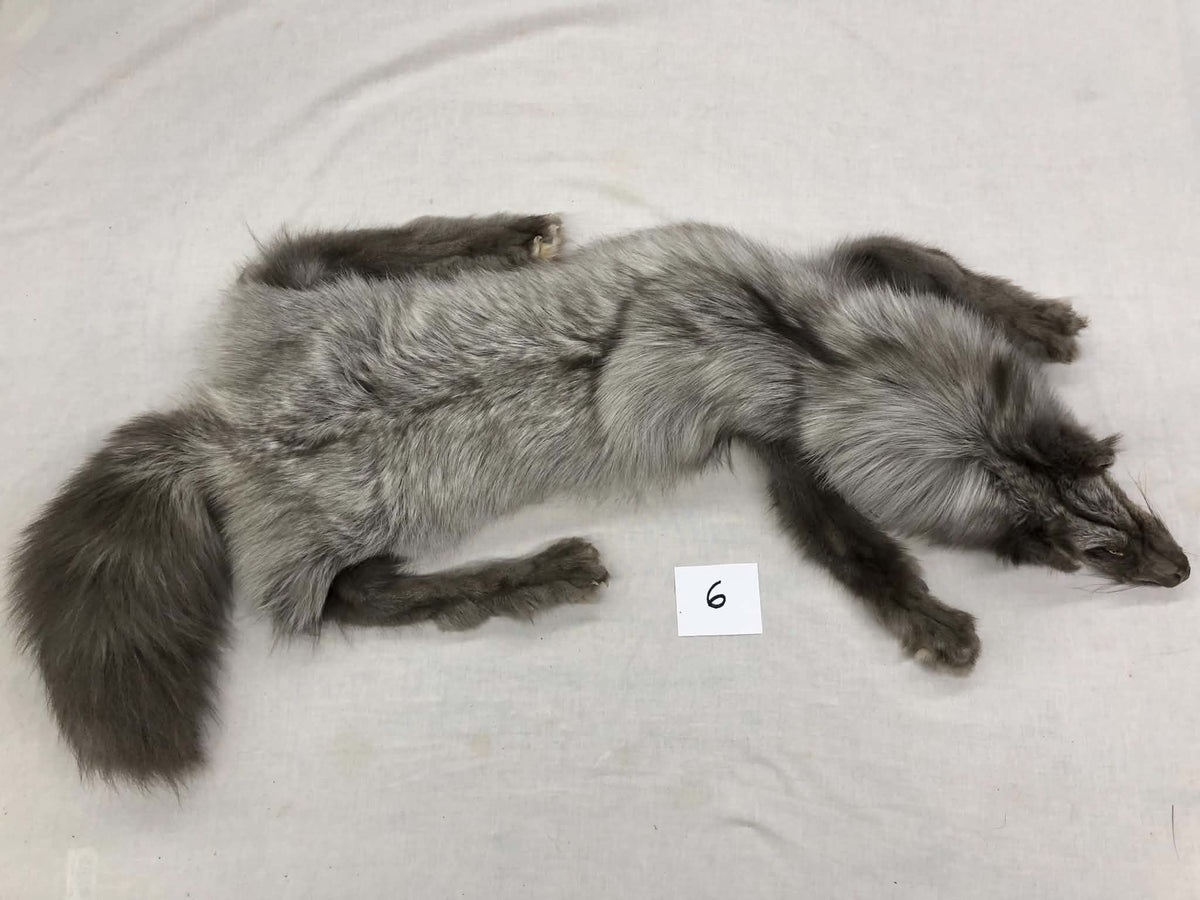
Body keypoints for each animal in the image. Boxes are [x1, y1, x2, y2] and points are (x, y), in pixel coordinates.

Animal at [8, 213, 1189, 787]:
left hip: (294, 311)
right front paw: (932, 620)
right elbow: (862, 553)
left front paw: (1032, 319)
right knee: (365, 599)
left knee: (300, 252)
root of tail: (225, 434)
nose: (1178, 570)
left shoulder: (830, 300)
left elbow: (920, 254)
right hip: (333, 541)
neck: (799, 349)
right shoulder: (790, 445)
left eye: (1108, 494)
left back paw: (508, 235)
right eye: (1065, 550)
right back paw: (539, 568)